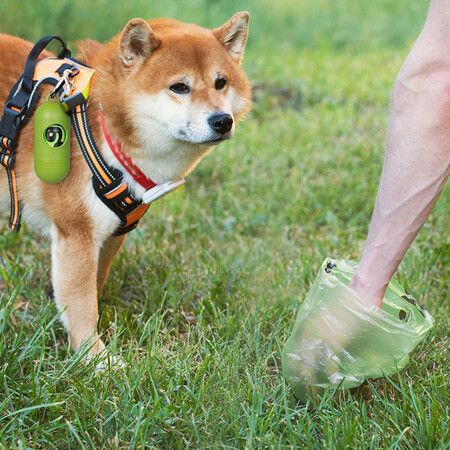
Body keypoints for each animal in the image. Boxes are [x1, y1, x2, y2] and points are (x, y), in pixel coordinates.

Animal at [0, 12, 251, 356]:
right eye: (179, 87)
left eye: (220, 82)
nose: (222, 121)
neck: (105, 135)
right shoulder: (76, 233)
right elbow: (82, 304)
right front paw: (94, 357)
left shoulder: (112, 232)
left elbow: (93, 288)